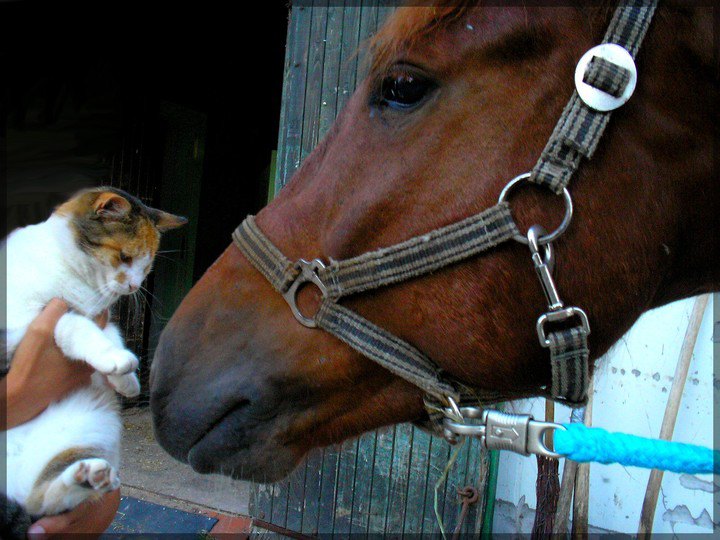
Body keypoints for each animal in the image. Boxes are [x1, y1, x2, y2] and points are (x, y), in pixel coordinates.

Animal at [1, 188, 186, 532]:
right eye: (125, 257)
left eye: (147, 266)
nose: (134, 285)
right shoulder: (22, 321)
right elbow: (74, 324)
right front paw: (117, 361)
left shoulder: (103, 318)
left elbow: (111, 332)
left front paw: (126, 379)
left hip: (93, 426)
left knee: (42, 500)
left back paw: (87, 477)